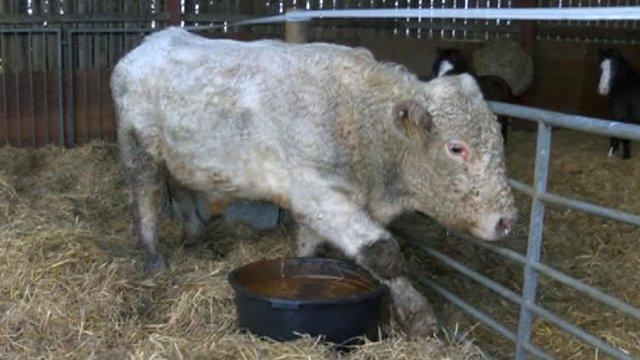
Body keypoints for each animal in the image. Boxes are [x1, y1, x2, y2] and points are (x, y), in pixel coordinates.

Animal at [111, 27, 520, 338]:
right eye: (456, 148)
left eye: (499, 136)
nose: (507, 221)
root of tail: (151, 43)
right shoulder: (319, 193)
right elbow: (383, 254)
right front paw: (420, 317)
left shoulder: (318, 202)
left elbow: (309, 245)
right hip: (137, 147)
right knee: (145, 199)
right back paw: (153, 258)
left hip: (179, 155)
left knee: (179, 187)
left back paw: (194, 232)